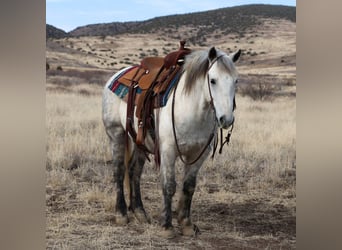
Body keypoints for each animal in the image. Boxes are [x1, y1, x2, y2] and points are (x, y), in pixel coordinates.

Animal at [101, 46, 240, 238]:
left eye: (236, 81)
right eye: (213, 80)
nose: (226, 119)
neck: (191, 109)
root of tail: (116, 76)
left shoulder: (199, 154)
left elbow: (188, 187)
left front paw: (186, 224)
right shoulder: (168, 151)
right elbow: (169, 186)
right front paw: (167, 226)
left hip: (140, 141)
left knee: (134, 172)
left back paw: (140, 212)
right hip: (117, 134)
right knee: (119, 171)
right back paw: (121, 214)